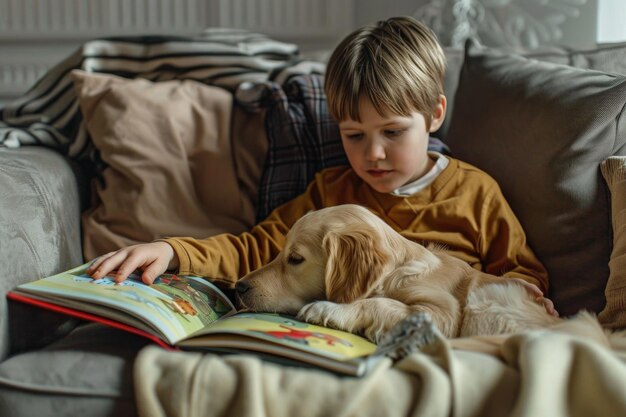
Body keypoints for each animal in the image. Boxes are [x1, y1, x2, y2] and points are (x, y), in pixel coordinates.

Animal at [234, 203, 556, 342]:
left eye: (295, 259)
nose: (239, 287)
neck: (394, 274)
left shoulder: (444, 314)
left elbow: (378, 303)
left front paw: (328, 308)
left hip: (489, 303)